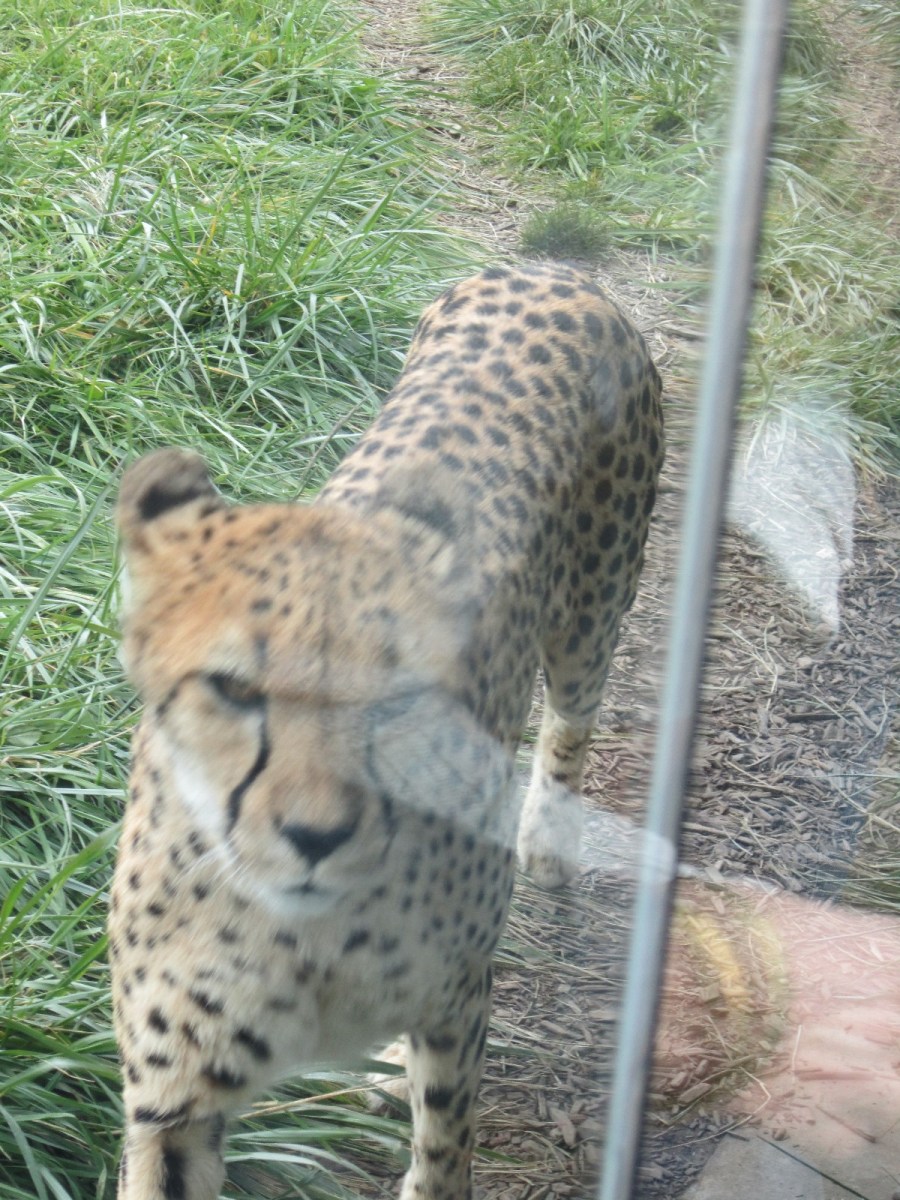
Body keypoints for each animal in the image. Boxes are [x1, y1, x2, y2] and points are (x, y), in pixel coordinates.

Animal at [108, 261, 665, 1200]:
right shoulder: (174, 1096)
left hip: (592, 620)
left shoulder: (458, 993)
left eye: (398, 694)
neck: (303, 936)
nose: (316, 835)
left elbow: (445, 1147)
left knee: (571, 724)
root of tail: (549, 269)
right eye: (234, 687)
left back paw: (548, 842)